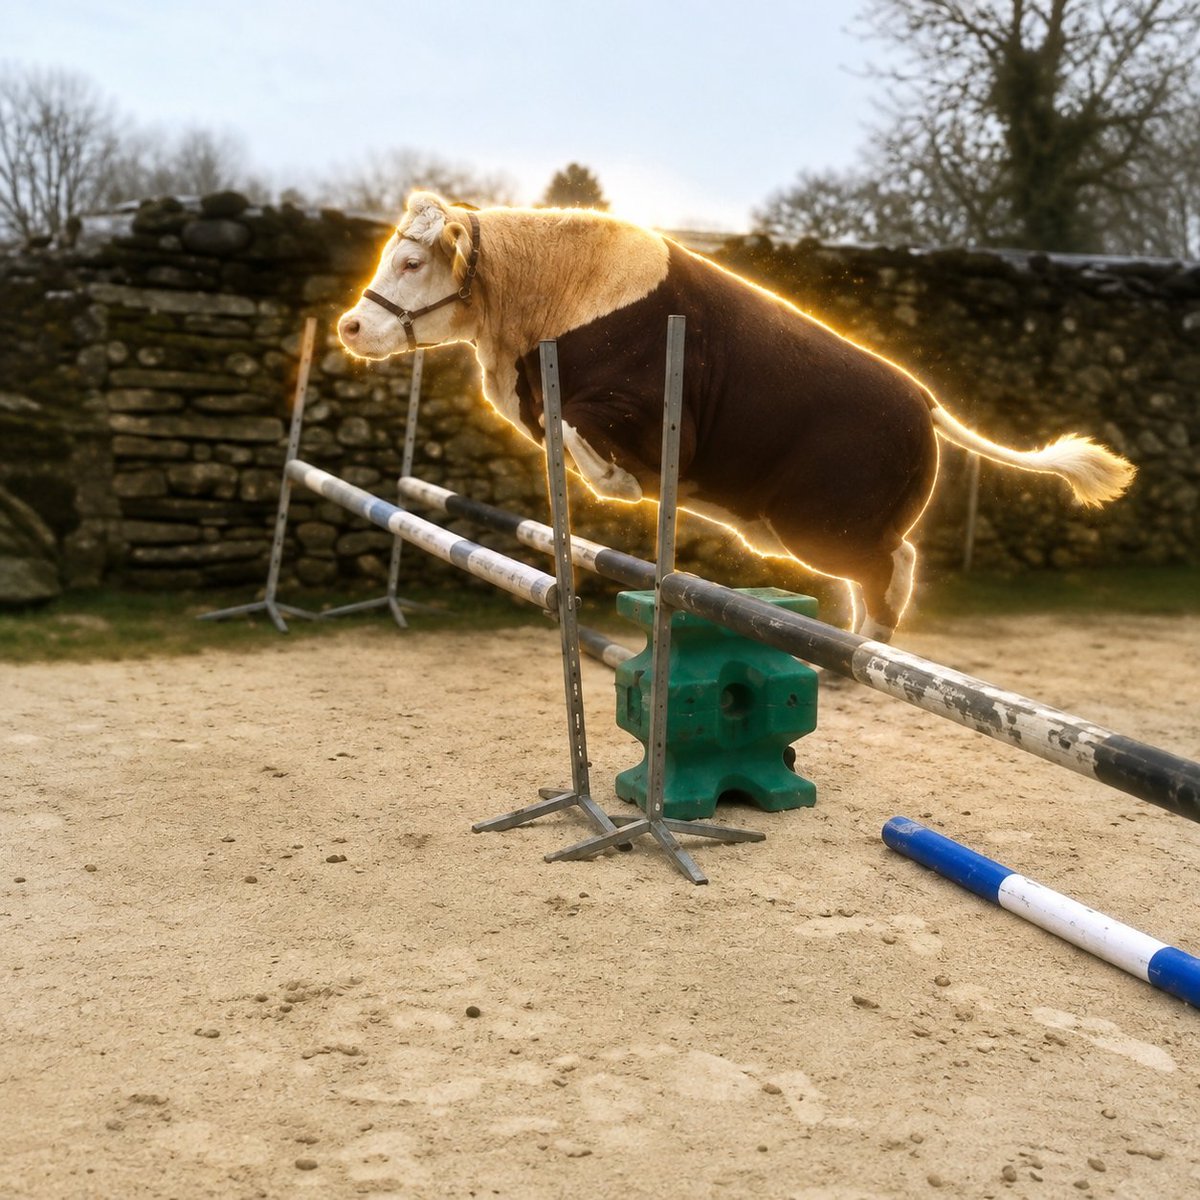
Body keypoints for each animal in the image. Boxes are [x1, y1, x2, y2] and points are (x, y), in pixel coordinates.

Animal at [337, 192, 1135, 643]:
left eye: (412, 264)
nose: (349, 326)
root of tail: (926, 403)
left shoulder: (651, 419)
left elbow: (584, 440)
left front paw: (608, 478)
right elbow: (559, 436)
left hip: (820, 525)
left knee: (893, 564)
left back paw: (868, 647)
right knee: (887, 567)